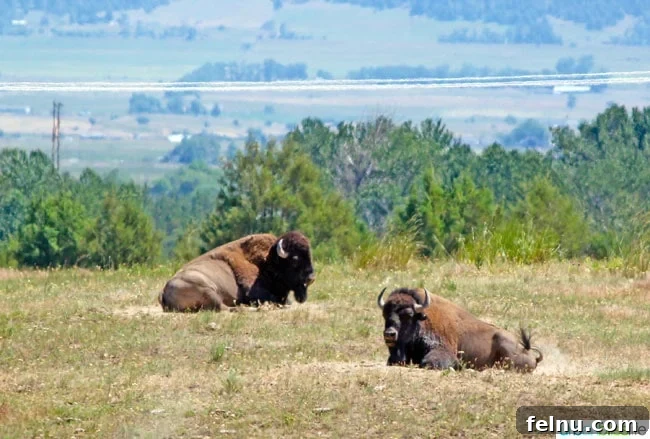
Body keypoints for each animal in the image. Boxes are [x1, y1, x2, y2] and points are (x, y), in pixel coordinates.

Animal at [159, 231, 316, 312]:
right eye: (295, 259)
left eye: (309, 255)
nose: (311, 278)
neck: (267, 262)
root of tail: (164, 290)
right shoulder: (255, 292)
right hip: (206, 288)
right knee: (224, 307)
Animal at [377, 287, 543, 372]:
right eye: (385, 314)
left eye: (408, 314)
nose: (389, 334)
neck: (422, 321)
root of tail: (529, 353)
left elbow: (427, 362)